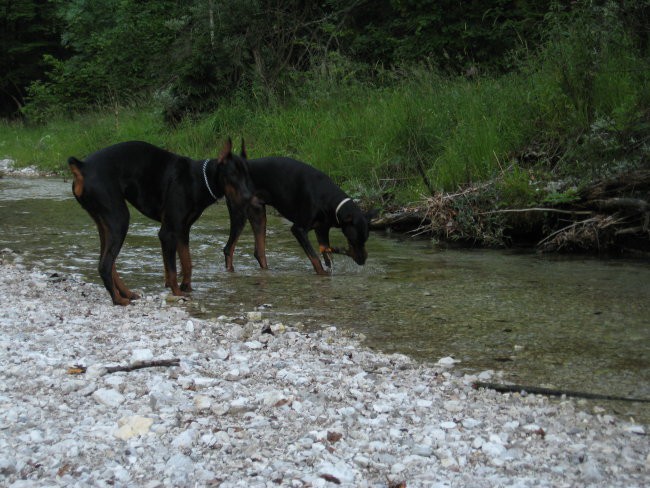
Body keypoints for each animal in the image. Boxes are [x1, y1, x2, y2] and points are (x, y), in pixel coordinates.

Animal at [69, 138, 252, 304]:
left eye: (247, 174)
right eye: (233, 175)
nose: (249, 197)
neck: (199, 179)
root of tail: (82, 166)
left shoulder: (182, 231)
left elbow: (187, 263)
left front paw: (187, 287)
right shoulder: (168, 232)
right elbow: (172, 269)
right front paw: (177, 292)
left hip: (105, 224)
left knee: (108, 262)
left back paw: (127, 293)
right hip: (119, 219)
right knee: (105, 265)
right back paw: (118, 300)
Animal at [224, 151, 372, 274]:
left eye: (365, 239)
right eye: (353, 239)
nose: (363, 261)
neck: (327, 198)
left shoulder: (322, 231)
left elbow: (327, 257)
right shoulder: (299, 229)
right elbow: (315, 258)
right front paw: (323, 274)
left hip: (258, 215)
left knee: (259, 252)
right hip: (240, 214)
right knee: (228, 249)